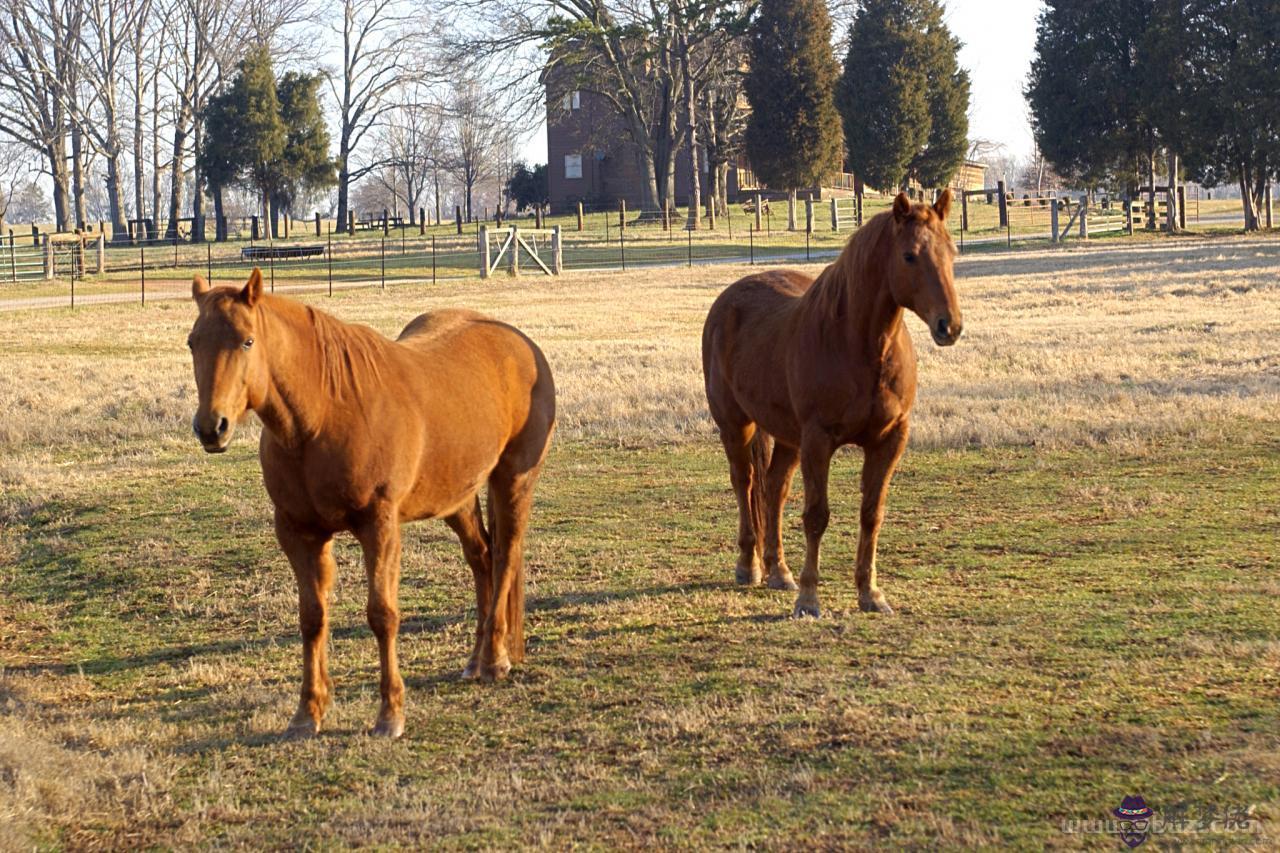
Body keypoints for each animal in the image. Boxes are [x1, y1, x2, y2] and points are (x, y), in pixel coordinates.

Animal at [188, 268, 555, 732]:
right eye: (193, 342)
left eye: (247, 341)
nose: (211, 427)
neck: (324, 415)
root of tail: (521, 344)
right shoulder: (298, 532)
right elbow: (312, 617)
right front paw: (308, 712)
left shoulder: (379, 527)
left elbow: (382, 615)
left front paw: (390, 713)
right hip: (457, 498)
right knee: (483, 558)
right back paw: (476, 660)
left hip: (514, 480)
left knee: (505, 557)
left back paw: (493, 660)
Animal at [706, 190, 962, 617]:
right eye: (910, 255)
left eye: (952, 251)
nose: (950, 326)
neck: (861, 346)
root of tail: (728, 299)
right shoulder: (818, 440)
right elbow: (816, 516)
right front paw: (809, 599)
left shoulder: (889, 439)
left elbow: (871, 513)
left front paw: (870, 593)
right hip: (736, 425)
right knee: (745, 484)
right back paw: (749, 566)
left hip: (787, 437)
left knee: (774, 489)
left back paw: (779, 570)